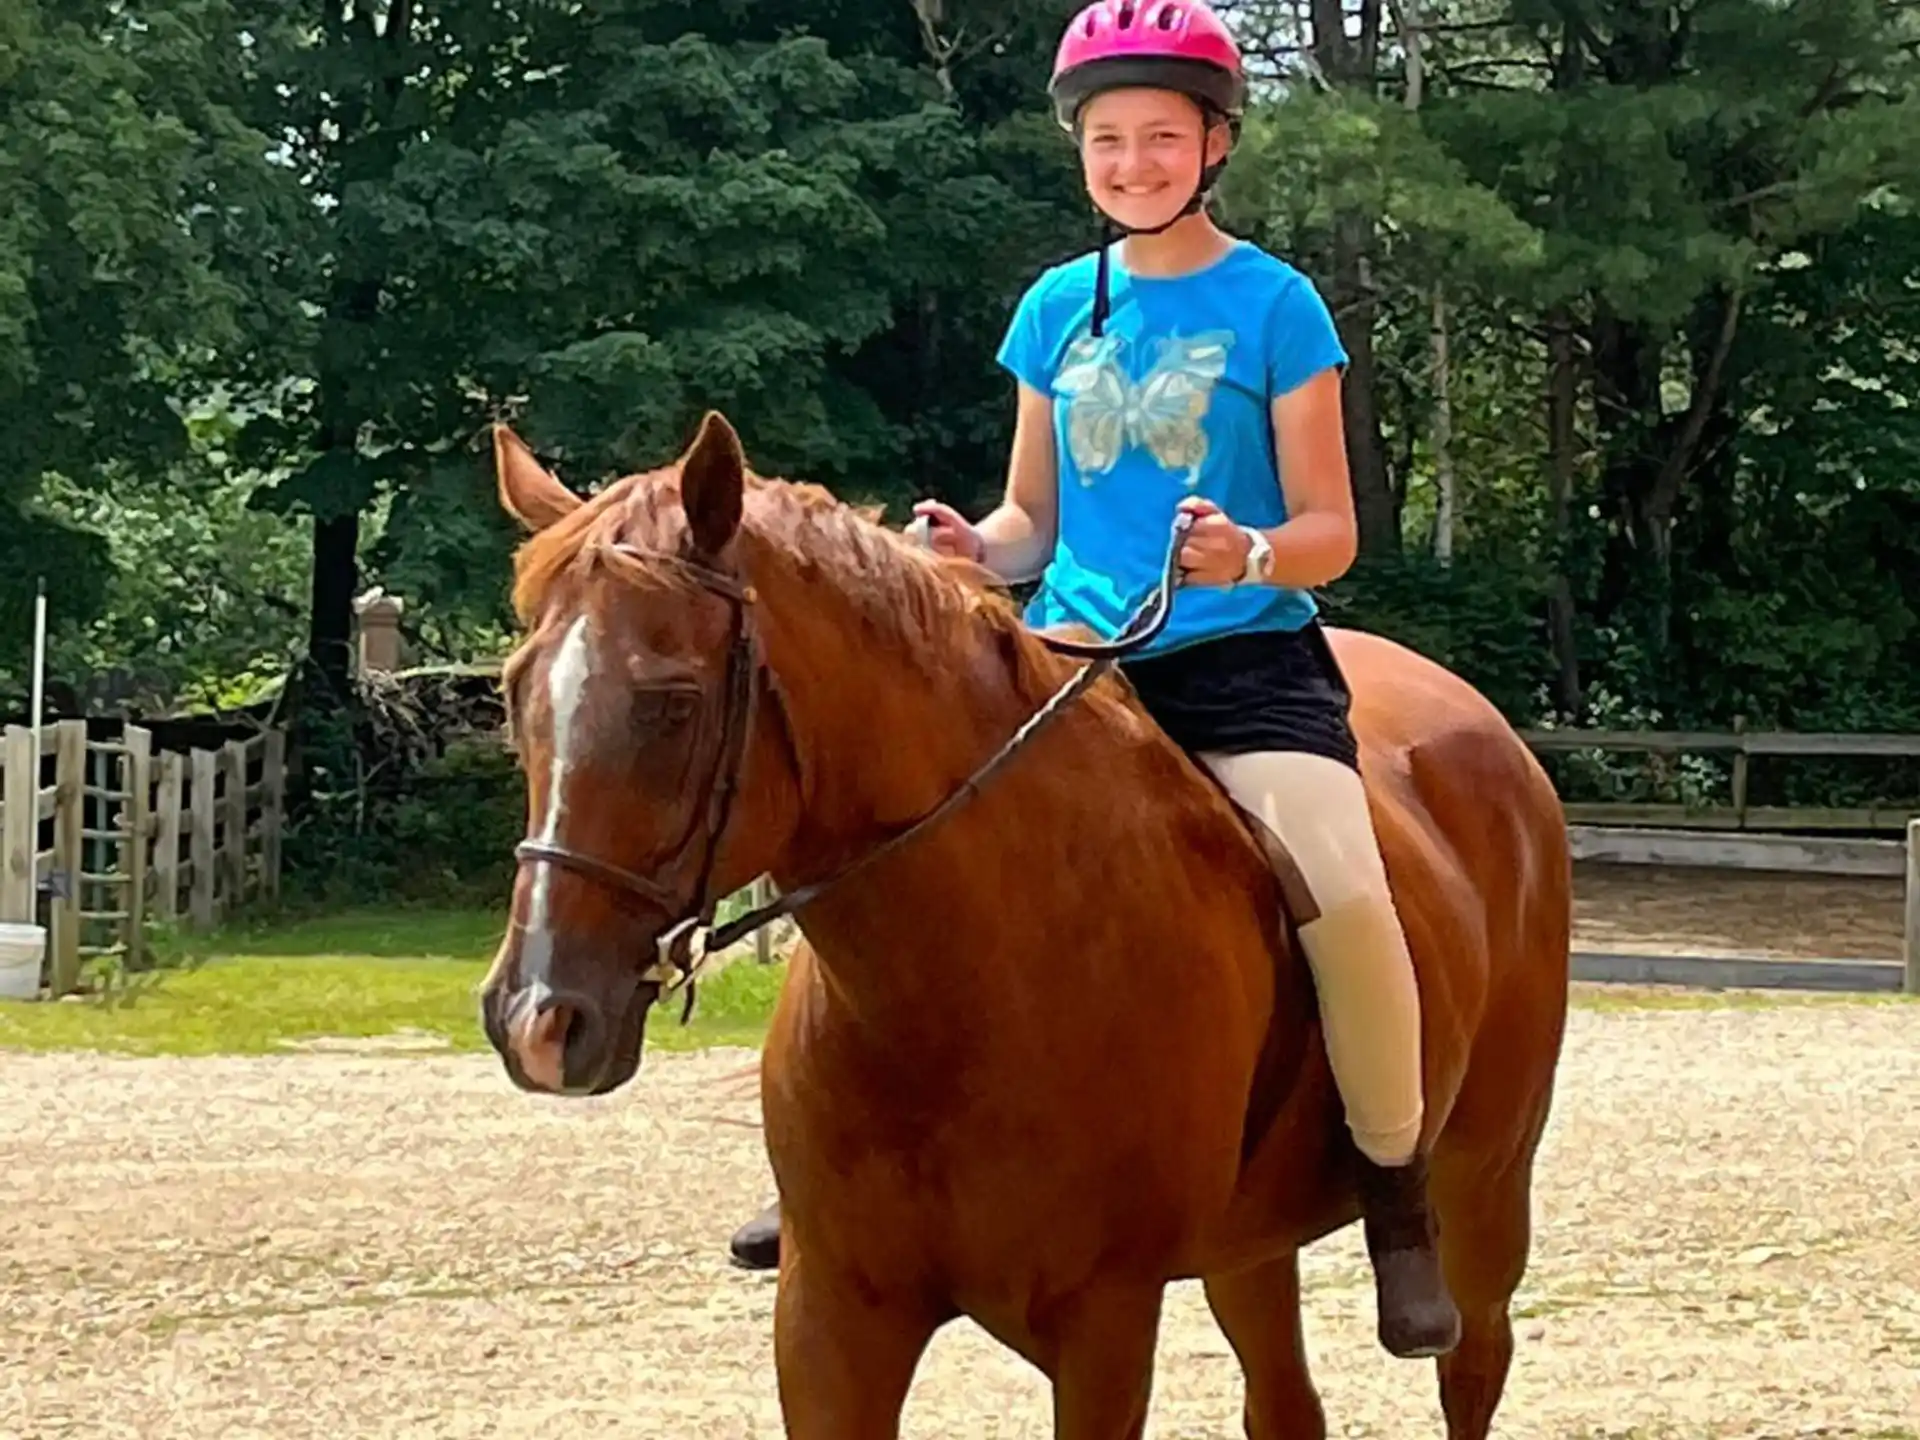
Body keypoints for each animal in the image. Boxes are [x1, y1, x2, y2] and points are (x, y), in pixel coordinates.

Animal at [478, 409, 1572, 1439]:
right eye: (516, 689)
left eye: (670, 702)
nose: (536, 1019)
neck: (959, 992)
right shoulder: (833, 1319)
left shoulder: (1104, 1327)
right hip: (1249, 1249)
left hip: (1485, 1187)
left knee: (1473, 1365)